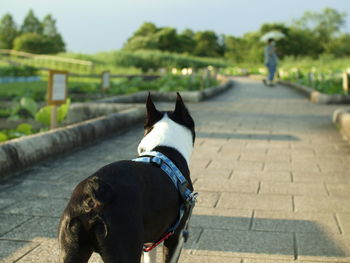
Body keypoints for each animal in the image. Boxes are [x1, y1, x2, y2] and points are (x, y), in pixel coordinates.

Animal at [59, 93, 197, 263]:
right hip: (125, 243)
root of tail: (94, 191)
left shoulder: (150, 240)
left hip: (71, 245)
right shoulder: (177, 236)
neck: (164, 147)